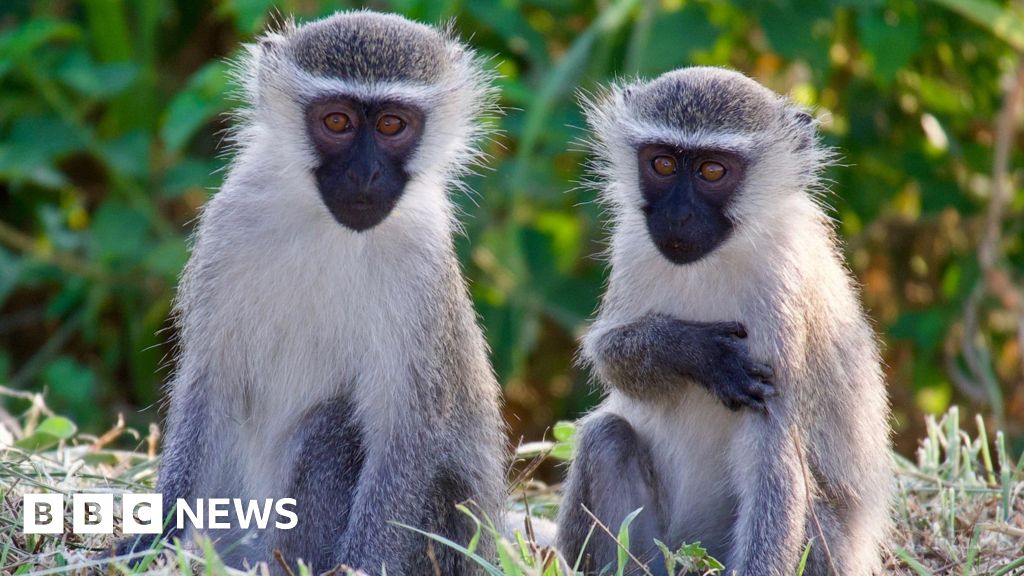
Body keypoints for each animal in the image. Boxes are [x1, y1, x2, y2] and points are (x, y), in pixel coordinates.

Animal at [115, 11, 506, 575]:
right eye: (337, 122)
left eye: (392, 125)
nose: (365, 172)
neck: (329, 228)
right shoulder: (227, 229)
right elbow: (210, 384)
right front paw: (153, 538)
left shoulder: (423, 268)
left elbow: (408, 430)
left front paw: (358, 566)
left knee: (335, 426)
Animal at [557, 67, 892, 576]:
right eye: (662, 164)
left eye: (712, 171)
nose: (677, 216)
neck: (715, 259)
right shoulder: (632, 243)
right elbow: (609, 354)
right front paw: (693, 352)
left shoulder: (782, 291)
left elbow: (773, 451)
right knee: (605, 437)